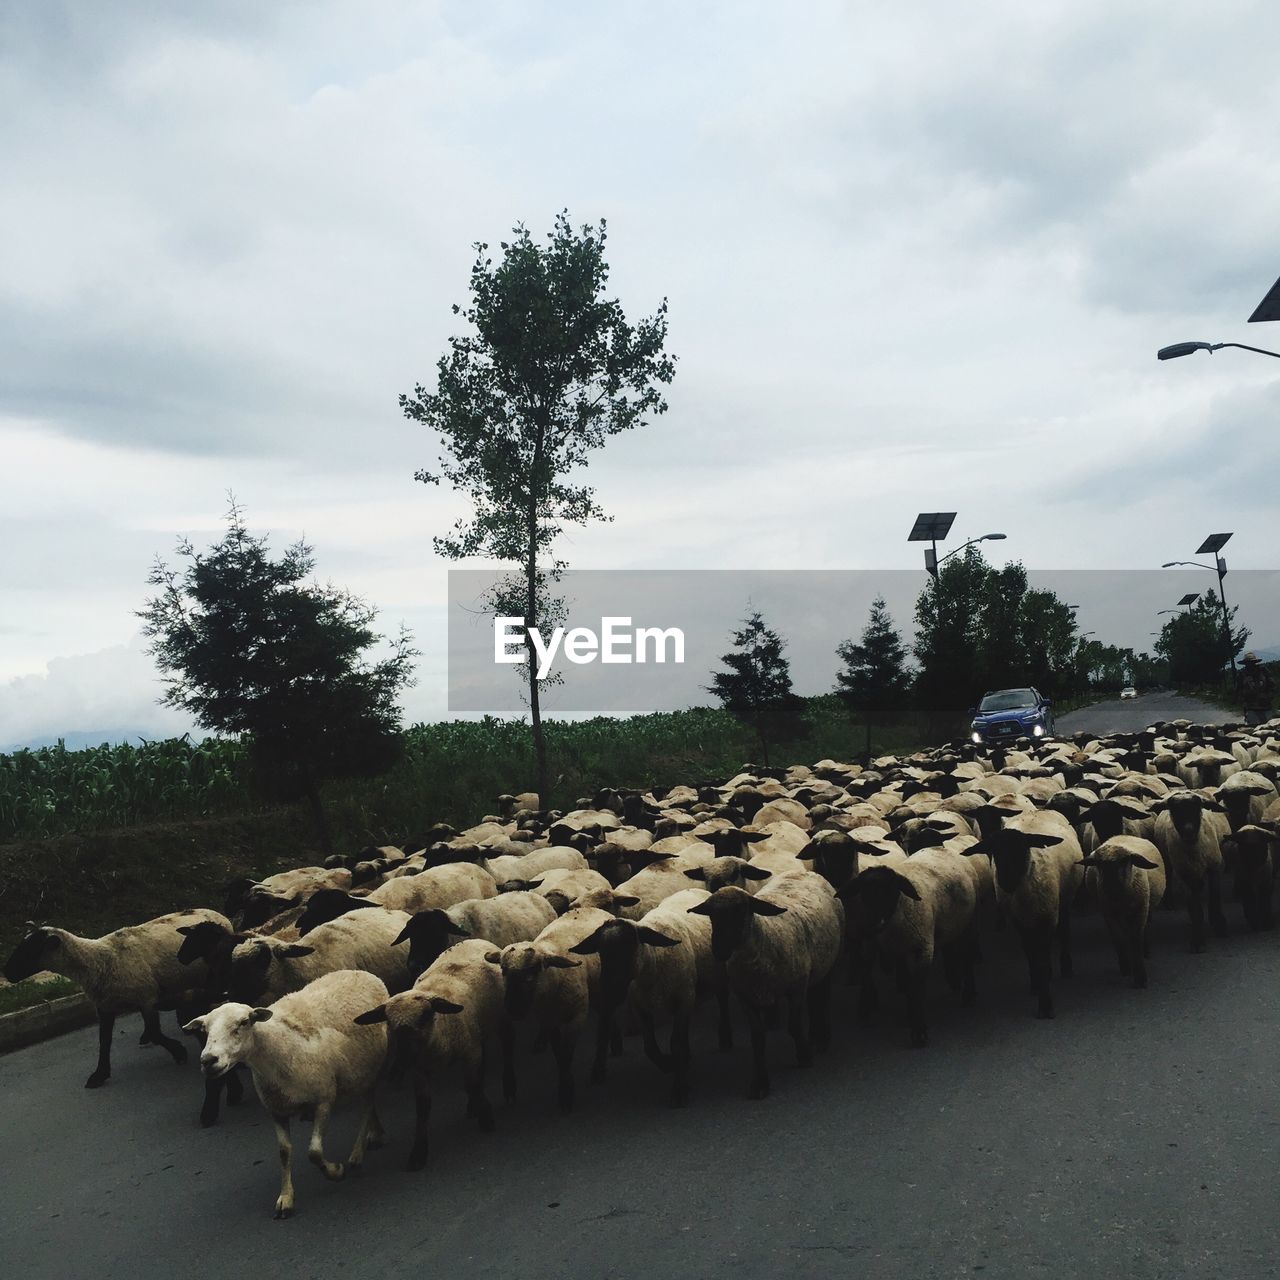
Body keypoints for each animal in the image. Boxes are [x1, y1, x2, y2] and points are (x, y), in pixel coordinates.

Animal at [3, 911, 230, 1090]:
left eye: (32, 949)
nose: (7, 973)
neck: (99, 961)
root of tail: (217, 913)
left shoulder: (147, 998)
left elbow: (155, 1033)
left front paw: (179, 1052)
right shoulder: (105, 1006)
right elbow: (104, 1042)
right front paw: (99, 1075)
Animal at [183, 967, 386, 1218]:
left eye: (243, 1022)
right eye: (205, 1029)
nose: (208, 1060)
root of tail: (360, 972)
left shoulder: (324, 1099)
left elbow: (314, 1152)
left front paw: (336, 1172)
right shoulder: (276, 1110)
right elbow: (284, 1152)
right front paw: (286, 1198)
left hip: (369, 1069)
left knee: (368, 1106)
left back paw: (358, 1152)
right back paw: (373, 1135)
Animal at [355, 942, 509, 1172]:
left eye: (424, 1016)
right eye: (388, 1022)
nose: (401, 1061)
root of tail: (474, 941)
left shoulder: (470, 1052)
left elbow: (471, 1084)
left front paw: (486, 1116)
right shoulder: (420, 1069)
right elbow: (422, 1108)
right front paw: (418, 1153)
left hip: (498, 1022)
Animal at [686, 870, 844, 1100]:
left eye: (741, 910)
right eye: (712, 915)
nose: (719, 950)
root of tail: (805, 871)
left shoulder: (796, 987)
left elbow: (793, 1026)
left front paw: (804, 1055)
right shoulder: (746, 997)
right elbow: (758, 1038)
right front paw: (760, 1083)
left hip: (829, 963)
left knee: (822, 998)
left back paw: (822, 1037)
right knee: (814, 998)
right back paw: (814, 1035)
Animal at [1080, 834, 1172, 983]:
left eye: (1124, 861)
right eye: (1098, 864)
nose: (1110, 888)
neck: (1119, 898)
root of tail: (1122, 835)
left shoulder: (1140, 911)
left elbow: (1136, 939)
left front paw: (1140, 976)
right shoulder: (1109, 914)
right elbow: (1118, 939)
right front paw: (1126, 967)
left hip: (1146, 908)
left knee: (1143, 930)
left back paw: (1145, 950)